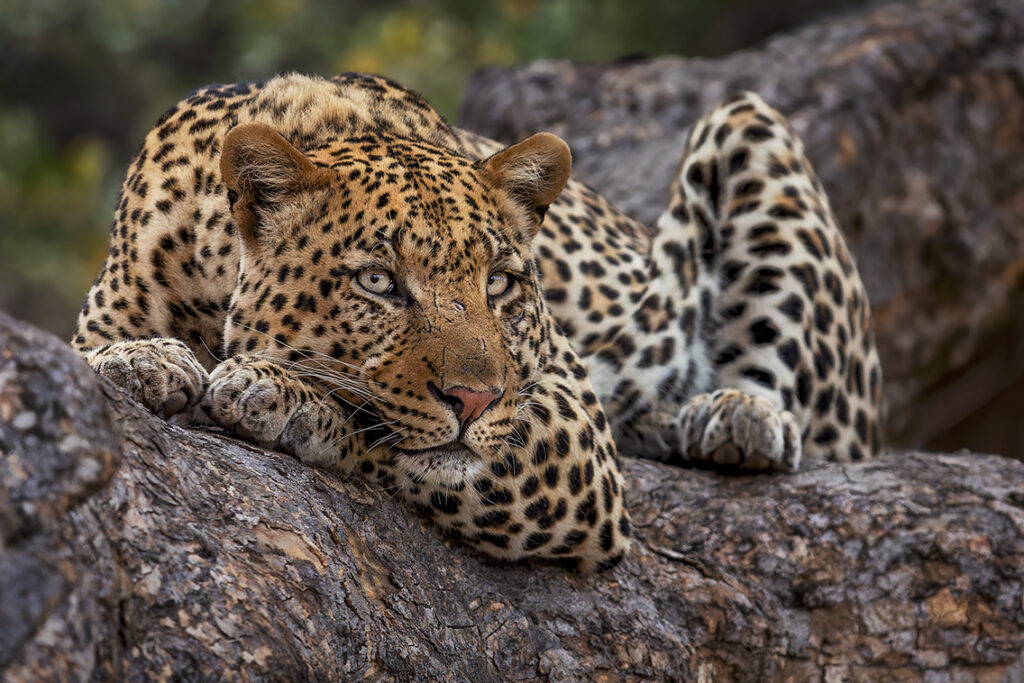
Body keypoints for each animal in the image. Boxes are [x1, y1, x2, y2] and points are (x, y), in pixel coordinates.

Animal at [75, 72, 884, 573]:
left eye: (500, 283)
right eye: (378, 281)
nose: (475, 399)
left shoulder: (572, 420)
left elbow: (394, 432)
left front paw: (276, 393)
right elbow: (96, 355)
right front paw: (145, 359)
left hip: (748, 124)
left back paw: (734, 414)